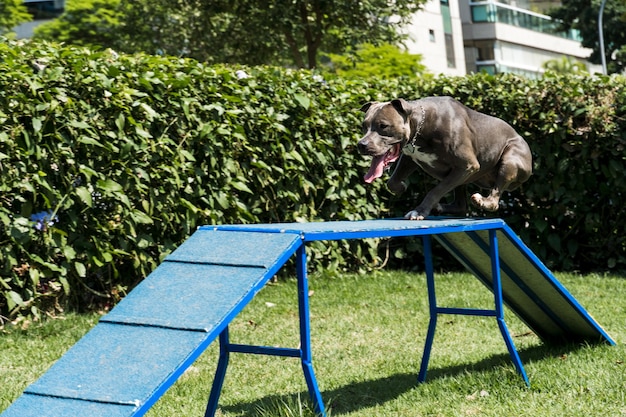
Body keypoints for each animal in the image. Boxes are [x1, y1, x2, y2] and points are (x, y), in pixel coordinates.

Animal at [356, 96, 532, 221]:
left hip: (509, 160)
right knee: (461, 204)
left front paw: (419, 211)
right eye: (364, 126)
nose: (361, 144)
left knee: (495, 199)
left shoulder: (468, 165)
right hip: (463, 177)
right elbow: (392, 181)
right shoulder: (409, 157)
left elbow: (435, 190)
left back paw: (483, 201)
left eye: (383, 126)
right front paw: (401, 187)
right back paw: (441, 207)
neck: (420, 125)